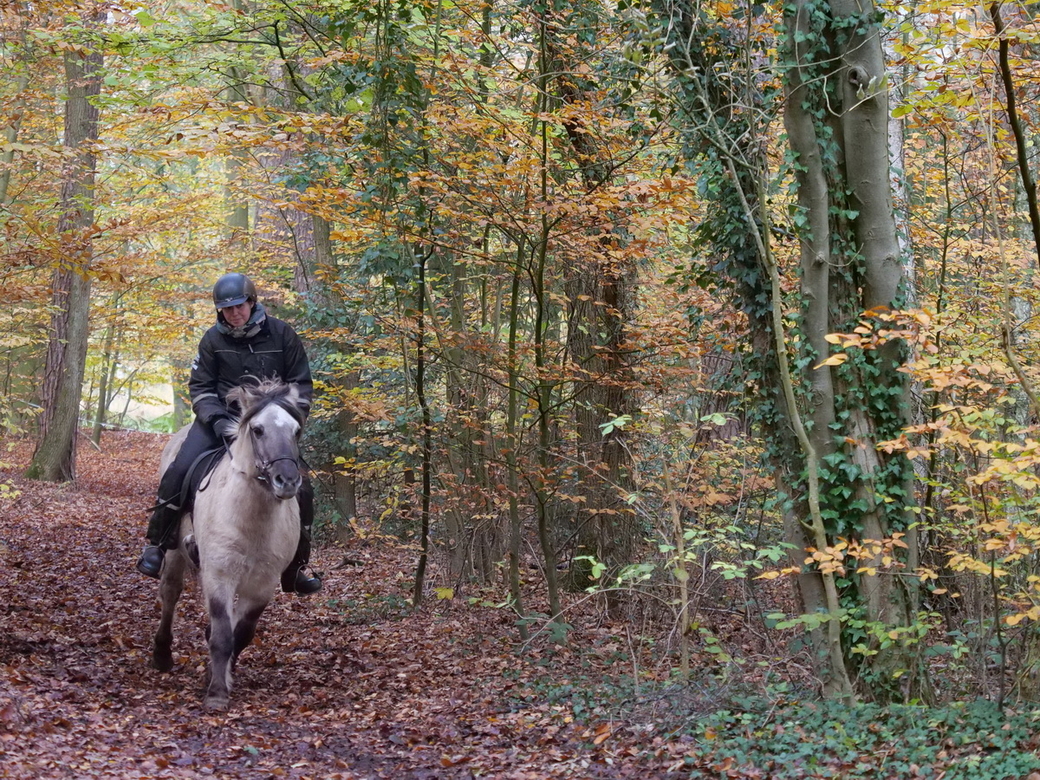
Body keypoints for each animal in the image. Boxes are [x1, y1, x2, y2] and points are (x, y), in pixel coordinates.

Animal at [148, 380, 307, 715]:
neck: (252, 520)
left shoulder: (263, 584)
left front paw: (217, 675)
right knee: (170, 593)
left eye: (296, 430)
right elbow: (222, 635)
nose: (286, 481)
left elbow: (240, 634)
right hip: (174, 552)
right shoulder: (219, 575)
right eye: (257, 430)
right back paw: (162, 654)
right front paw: (217, 693)